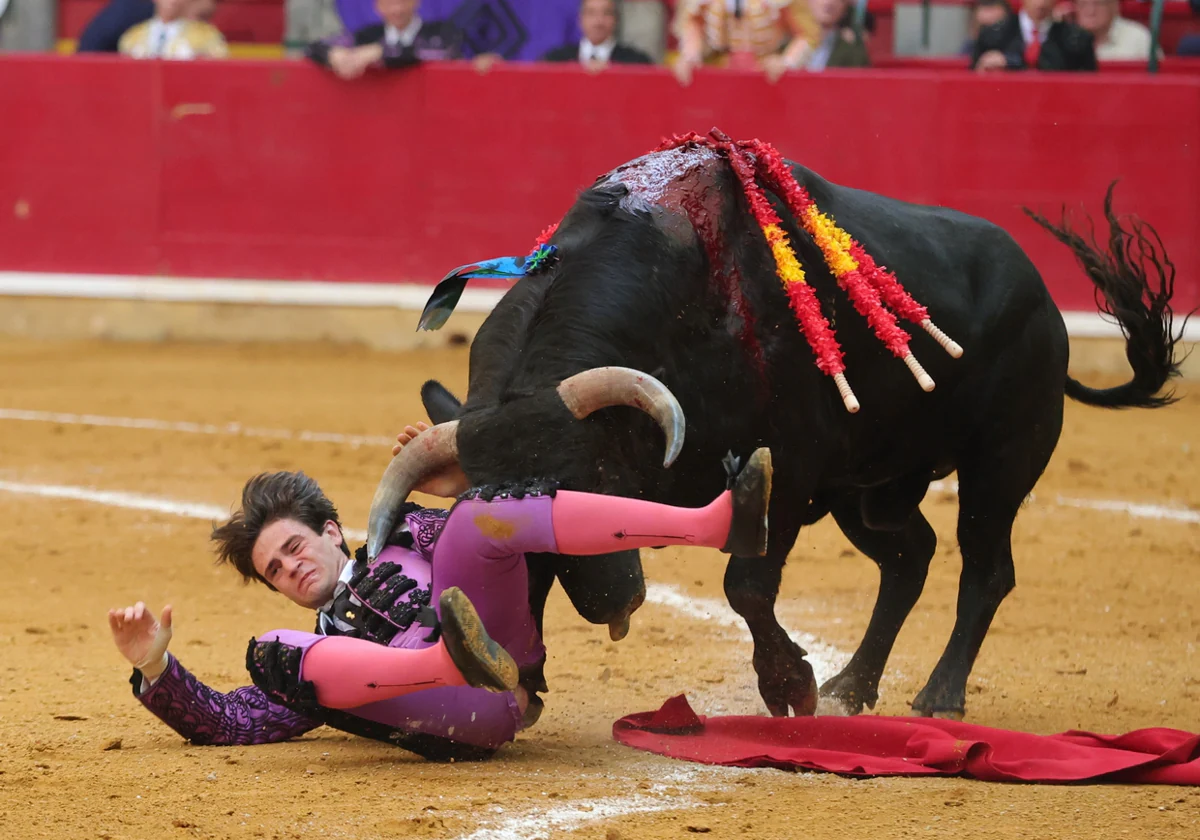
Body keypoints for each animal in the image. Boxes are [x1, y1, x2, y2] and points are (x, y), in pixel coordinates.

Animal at [369, 147, 1185, 720]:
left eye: (596, 489)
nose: (612, 605)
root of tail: (1043, 294)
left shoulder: (787, 467)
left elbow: (747, 584)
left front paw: (789, 686)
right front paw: (523, 674)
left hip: (1000, 463)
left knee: (984, 571)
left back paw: (938, 695)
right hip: (870, 491)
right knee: (909, 558)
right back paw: (854, 685)